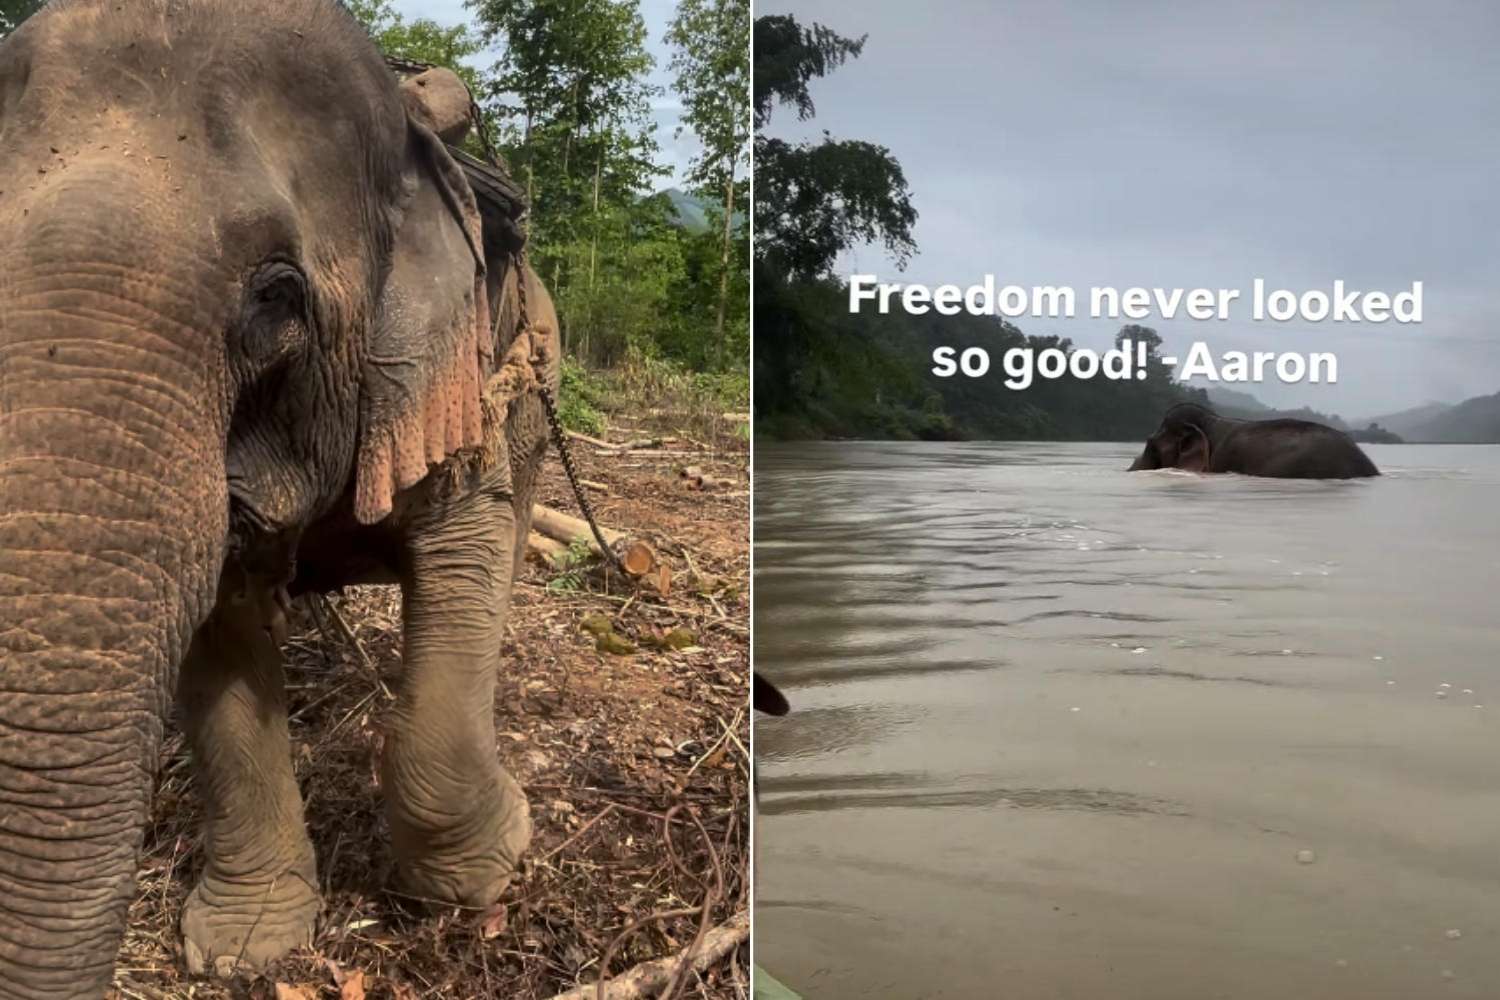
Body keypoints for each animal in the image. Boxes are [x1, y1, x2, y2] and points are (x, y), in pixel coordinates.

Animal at [0, 2, 562, 991]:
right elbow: (220, 623)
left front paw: (492, 865)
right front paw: (245, 945)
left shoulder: (446, 376)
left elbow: (466, 546)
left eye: (276, 295)